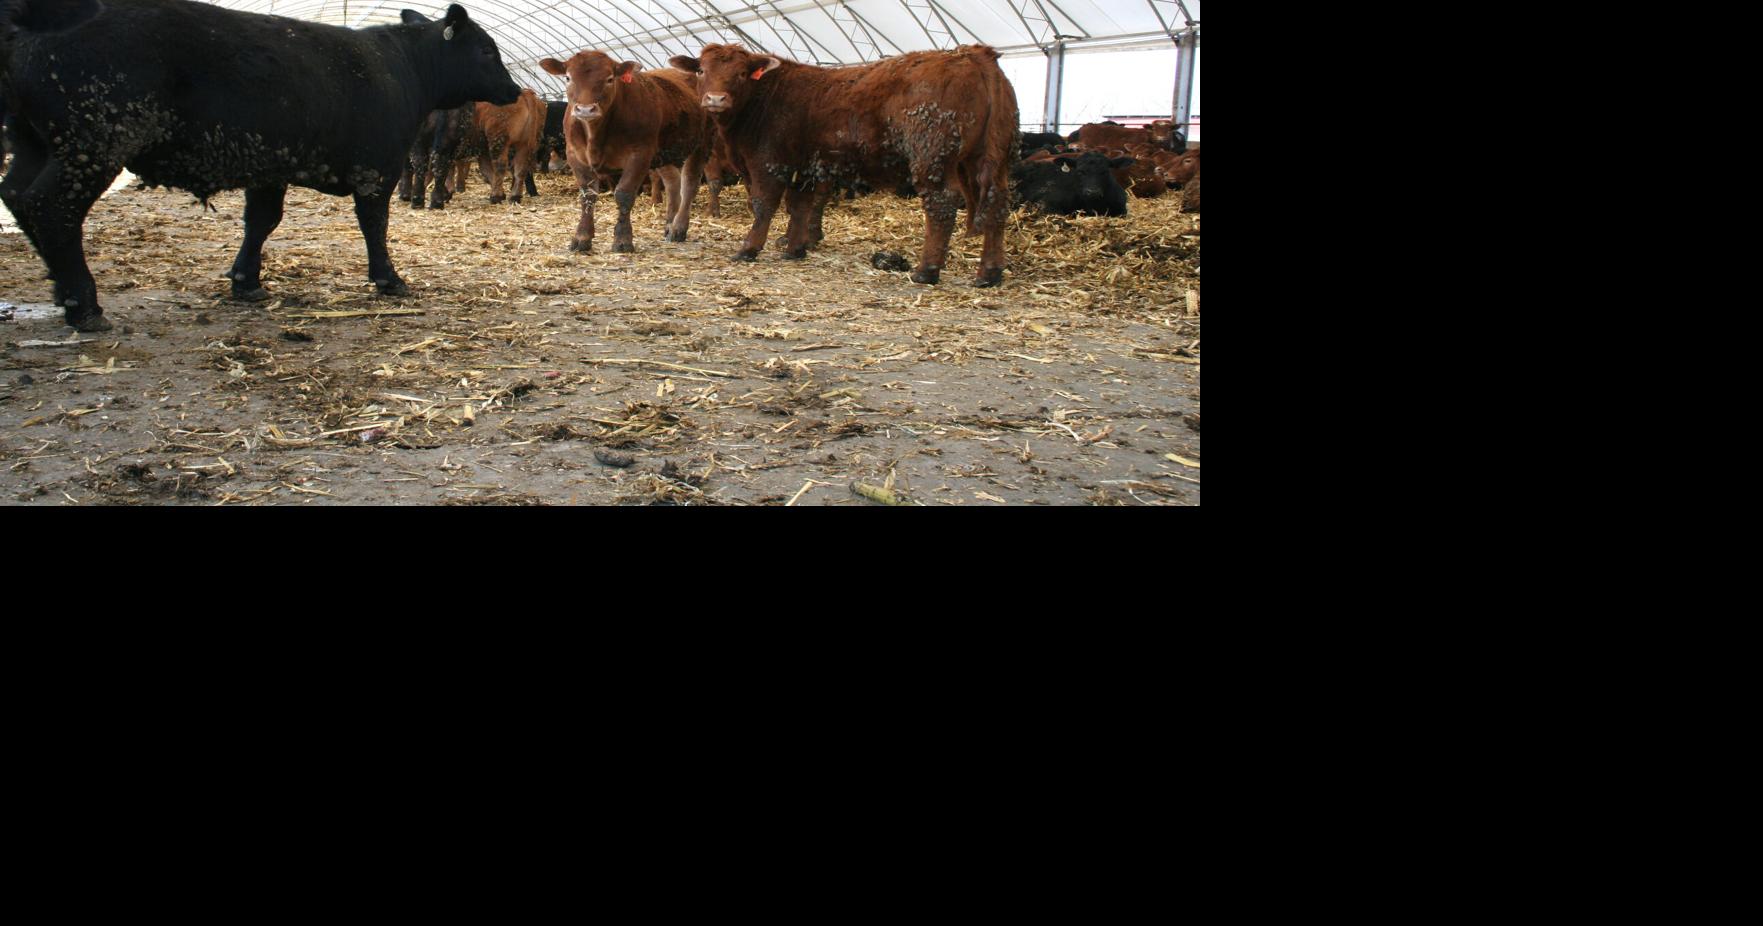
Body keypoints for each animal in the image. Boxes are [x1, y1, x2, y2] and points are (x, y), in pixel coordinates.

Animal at [0, 1, 520, 331]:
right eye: (486, 50)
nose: (515, 89)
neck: (404, 67)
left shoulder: (270, 169)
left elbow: (262, 222)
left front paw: (246, 282)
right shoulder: (376, 170)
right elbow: (375, 225)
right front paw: (388, 279)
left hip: (39, 145)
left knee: (18, 198)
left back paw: (62, 290)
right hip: (93, 143)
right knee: (52, 209)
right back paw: (83, 304)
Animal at [539, 51, 710, 253]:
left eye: (610, 79)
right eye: (567, 77)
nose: (586, 109)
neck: (595, 134)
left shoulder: (639, 155)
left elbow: (624, 194)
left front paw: (622, 240)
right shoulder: (575, 155)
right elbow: (587, 195)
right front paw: (582, 237)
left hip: (702, 143)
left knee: (689, 184)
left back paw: (678, 228)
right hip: (663, 153)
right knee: (673, 182)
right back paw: (669, 225)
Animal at [670, 43, 1017, 286]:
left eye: (742, 73)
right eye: (701, 71)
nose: (716, 99)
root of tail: (971, 54)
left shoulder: (767, 163)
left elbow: (764, 205)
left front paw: (748, 249)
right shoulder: (806, 167)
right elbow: (800, 205)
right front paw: (794, 250)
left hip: (932, 158)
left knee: (942, 204)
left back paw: (926, 270)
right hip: (989, 159)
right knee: (997, 204)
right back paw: (989, 273)